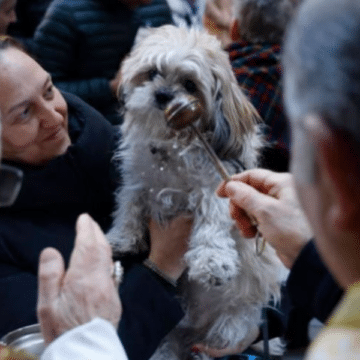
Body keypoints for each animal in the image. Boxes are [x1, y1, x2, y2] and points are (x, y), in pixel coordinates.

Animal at [108, 25, 286, 360]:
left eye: (190, 85)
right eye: (152, 73)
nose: (163, 94)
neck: (171, 146)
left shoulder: (216, 187)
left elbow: (211, 225)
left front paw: (213, 260)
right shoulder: (138, 180)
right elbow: (130, 205)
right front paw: (123, 238)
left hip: (229, 327)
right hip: (170, 337)